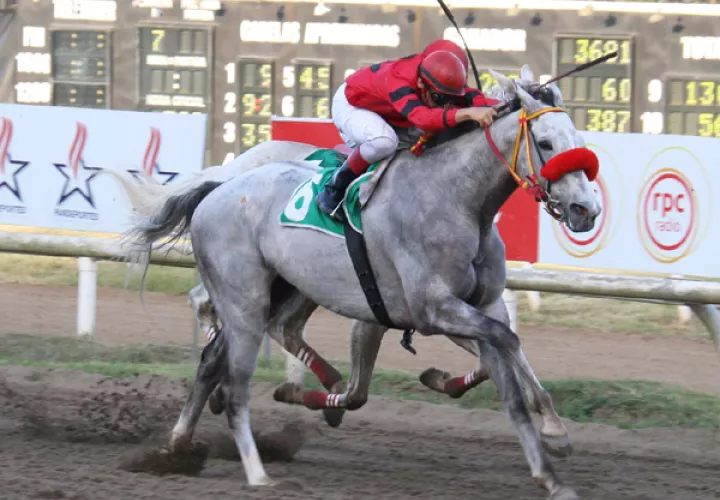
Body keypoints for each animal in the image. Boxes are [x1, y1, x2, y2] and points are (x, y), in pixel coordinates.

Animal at [121, 65, 600, 499]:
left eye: (577, 139)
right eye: (545, 143)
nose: (586, 210)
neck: (456, 201)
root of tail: (219, 187)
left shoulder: (479, 305)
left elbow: (509, 376)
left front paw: (550, 466)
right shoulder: (433, 307)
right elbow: (506, 340)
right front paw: (552, 429)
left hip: (275, 293)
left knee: (215, 359)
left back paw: (176, 448)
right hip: (245, 301)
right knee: (230, 360)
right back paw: (253, 465)